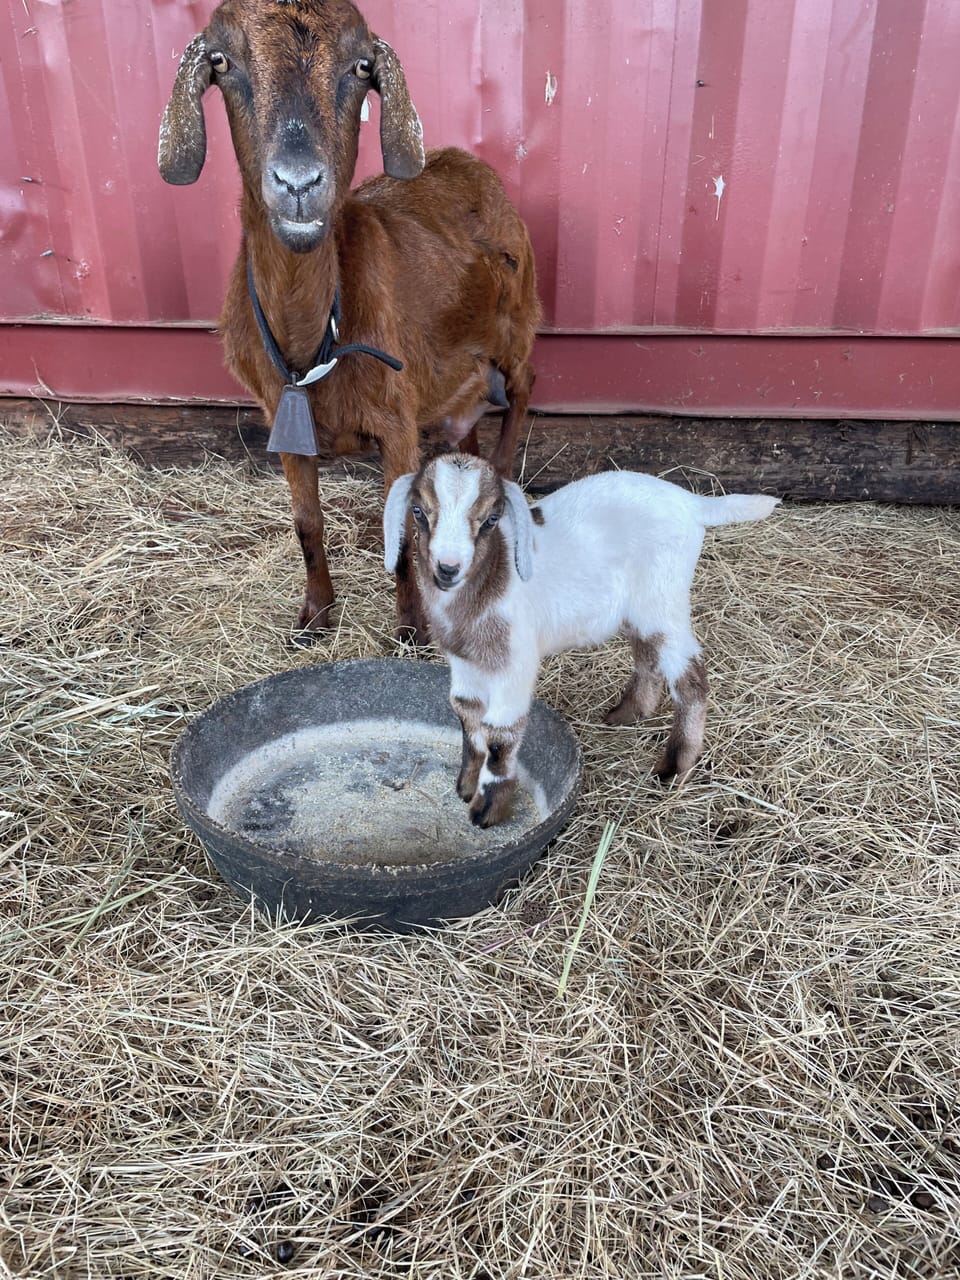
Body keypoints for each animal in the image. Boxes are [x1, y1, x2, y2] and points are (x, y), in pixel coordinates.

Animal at [159, 0, 540, 642]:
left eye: (362, 67)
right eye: (222, 62)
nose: (299, 184)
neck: (315, 339)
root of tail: (463, 160)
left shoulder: (398, 424)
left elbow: (403, 534)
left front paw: (412, 628)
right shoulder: (286, 427)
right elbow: (306, 524)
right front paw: (315, 615)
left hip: (517, 323)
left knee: (524, 389)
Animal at [384, 455, 780, 827]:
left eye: (491, 519)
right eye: (418, 511)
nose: (448, 568)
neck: (492, 576)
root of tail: (691, 502)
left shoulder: (515, 662)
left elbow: (500, 735)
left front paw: (487, 810)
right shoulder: (464, 660)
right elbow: (467, 714)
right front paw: (466, 786)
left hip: (663, 600)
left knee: (690, 677)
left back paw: (674, 767)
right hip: (640, 609)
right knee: (647, 655)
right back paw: (628, 713)